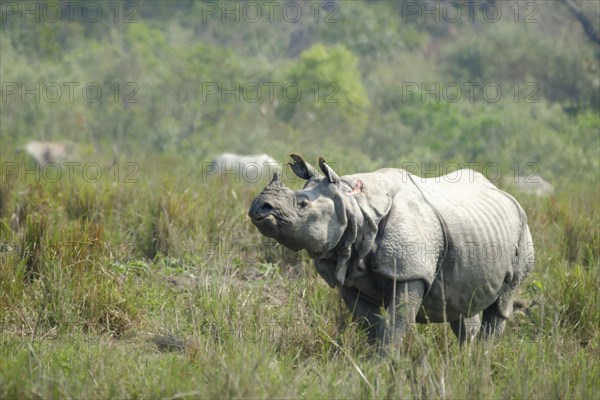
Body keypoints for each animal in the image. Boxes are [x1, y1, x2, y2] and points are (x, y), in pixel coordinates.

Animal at [248, 156, 536, 350]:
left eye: (303, 204)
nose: (259, 208)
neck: (355, 205)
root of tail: (504, 192)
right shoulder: (351, 276)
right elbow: (372, 324)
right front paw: (374, 363)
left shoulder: (410, 273)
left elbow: (397, 324)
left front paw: (384, 366)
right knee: (463, 303)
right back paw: (465, 360)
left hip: (523, 231)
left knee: (502, 302)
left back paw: (482, 360)